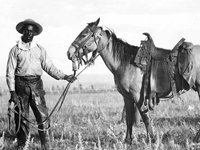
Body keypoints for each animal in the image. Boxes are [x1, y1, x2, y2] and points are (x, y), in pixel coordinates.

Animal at [67, 17, 200, 144]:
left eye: (84, 35)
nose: (69, 52)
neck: (124, 62)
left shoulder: (138, 97)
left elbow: (145, 118)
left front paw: (152, 139)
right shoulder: (127, 97)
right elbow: (129, 118)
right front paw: (128, 141)